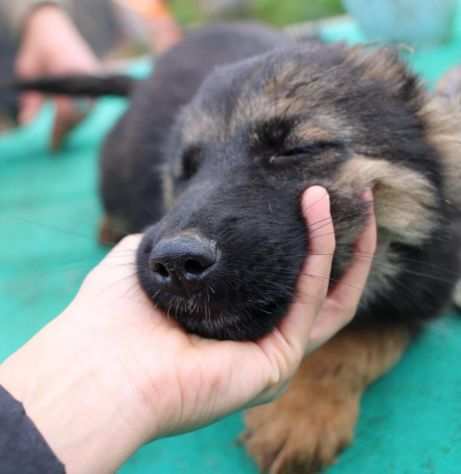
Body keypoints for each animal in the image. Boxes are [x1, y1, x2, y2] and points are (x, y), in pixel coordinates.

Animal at [16, 24, 460, 474]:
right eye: (185, 172)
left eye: (294, 149)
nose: (176, 264)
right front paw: (297, 412)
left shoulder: (419, 293)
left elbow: (355, 342)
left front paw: (300, 411)